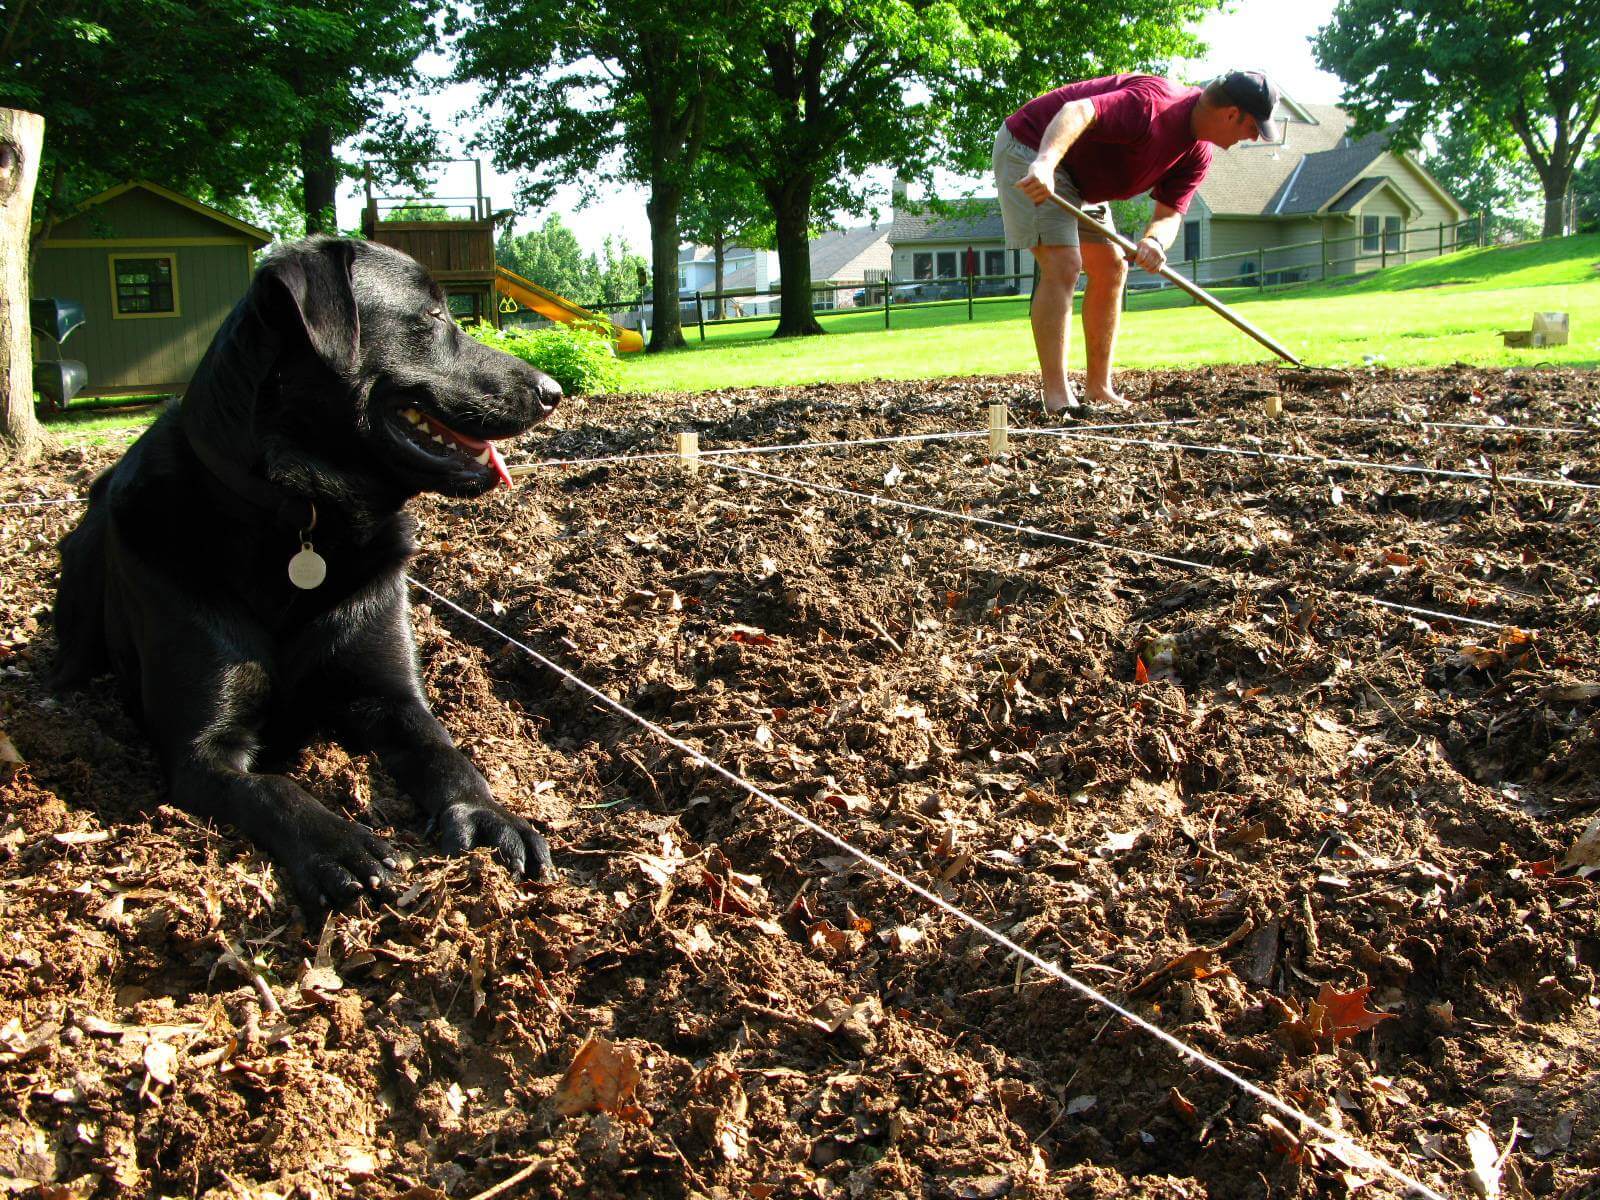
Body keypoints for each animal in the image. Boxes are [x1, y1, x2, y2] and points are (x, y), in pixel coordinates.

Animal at [54, 232, 563, 908]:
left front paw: (490, 814)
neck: (303, 514)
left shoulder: (391, 693)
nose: (555, 391)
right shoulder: (200, 753)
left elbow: (445, 751)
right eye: (432, 316)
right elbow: (273, 787)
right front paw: (339, 843)